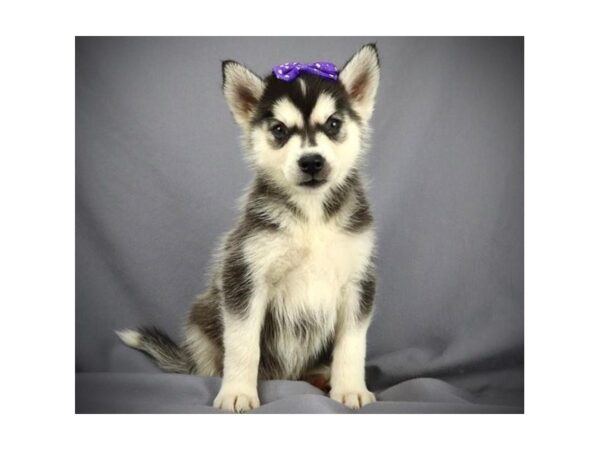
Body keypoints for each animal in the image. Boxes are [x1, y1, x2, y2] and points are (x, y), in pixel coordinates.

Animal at [117, 44, 380, 414]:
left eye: (333, 124)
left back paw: (320, 376)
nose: (311, 162)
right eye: (280, 130)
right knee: (209, 359)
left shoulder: (358, 282)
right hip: (201, 318)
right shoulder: (245, 277)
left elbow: (352, 345)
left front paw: (351, 389)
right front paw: (237, 393)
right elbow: (243, 345)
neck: (310, 216)